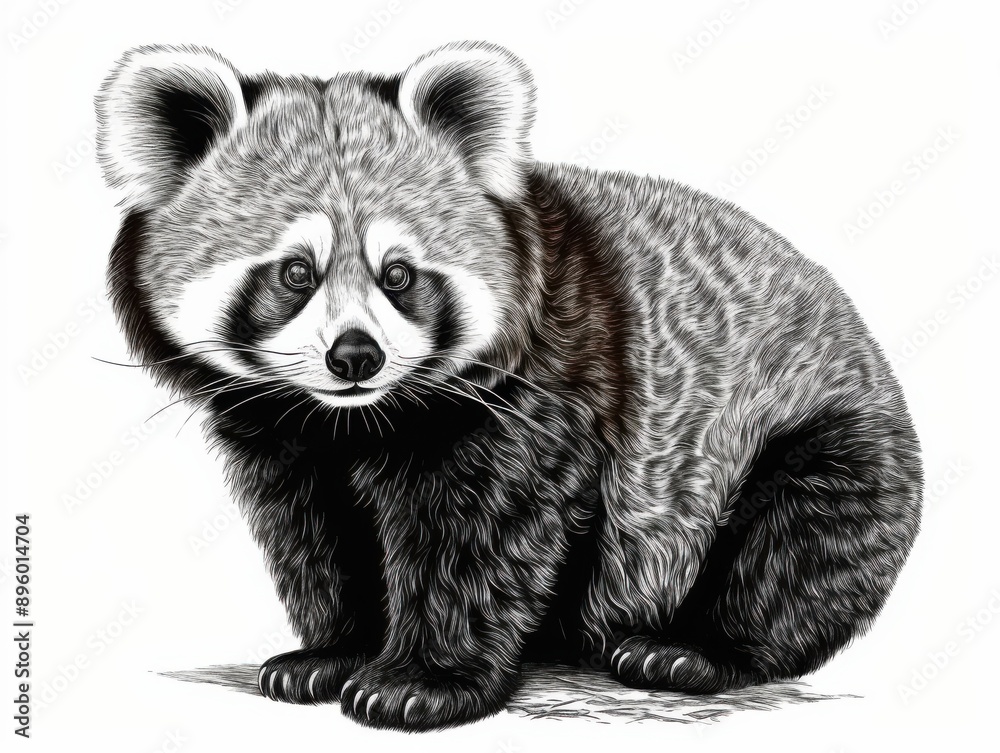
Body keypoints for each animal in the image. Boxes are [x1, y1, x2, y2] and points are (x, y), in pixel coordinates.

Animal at [95, 41, 922, 730]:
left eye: (399, 274)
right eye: (296, 272)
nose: (356, 357)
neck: (355, 419)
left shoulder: (541, 389)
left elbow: (481, 535)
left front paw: (420, 681)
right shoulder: (283, 437)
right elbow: (317, 534)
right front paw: (332, 653)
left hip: (814, 430)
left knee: (794, 546)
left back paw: (692, 648)